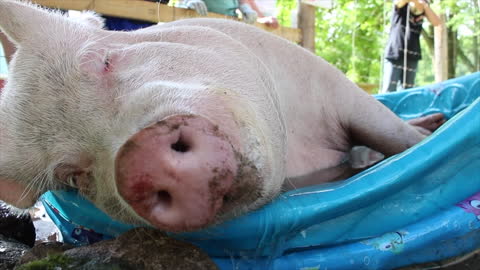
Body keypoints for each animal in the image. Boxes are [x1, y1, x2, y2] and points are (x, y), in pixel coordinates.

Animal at [0, 1, 444, 232]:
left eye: (104, 59)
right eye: (72, 176)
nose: (142, 159)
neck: (299, 154)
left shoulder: (329, 84)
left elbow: (390, 134)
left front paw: (426, 140)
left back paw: (434, 122)